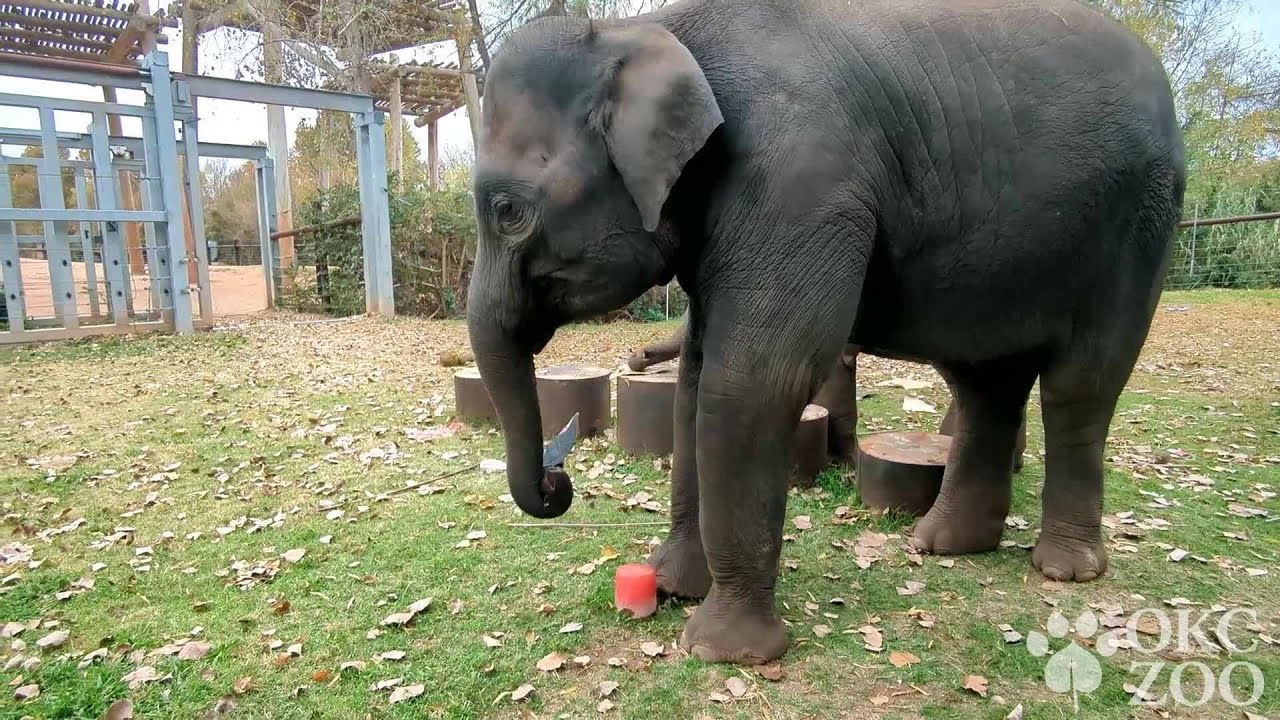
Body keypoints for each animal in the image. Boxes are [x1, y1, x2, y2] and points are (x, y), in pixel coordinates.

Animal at [467, 0, 1185, 664]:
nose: (557, 483)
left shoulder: (799, 183)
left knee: (1079, 386)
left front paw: (722, 650)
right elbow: (697, 378)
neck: (651, 28)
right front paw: (671, 588)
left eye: (508, 211)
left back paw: (1062, 568)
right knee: (986, 383)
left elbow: (753, 378)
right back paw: (944, 546)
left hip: (1138, 225)